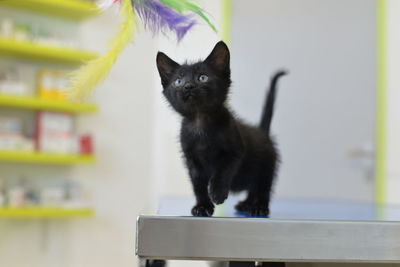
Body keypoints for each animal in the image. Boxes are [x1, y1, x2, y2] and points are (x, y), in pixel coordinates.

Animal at [157, 41, 288, 218]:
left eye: (202, 77)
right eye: (178, 81)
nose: (188, 86)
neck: (200, 121)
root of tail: (262, 131)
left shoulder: (235, 150)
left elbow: (223, 170)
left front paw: (217, 193)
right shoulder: (191, 159)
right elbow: (198, 184)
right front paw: (202, 206)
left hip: (267, 165)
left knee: (262, 186)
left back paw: (259, 206)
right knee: (252, 187)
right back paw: (246, 204)